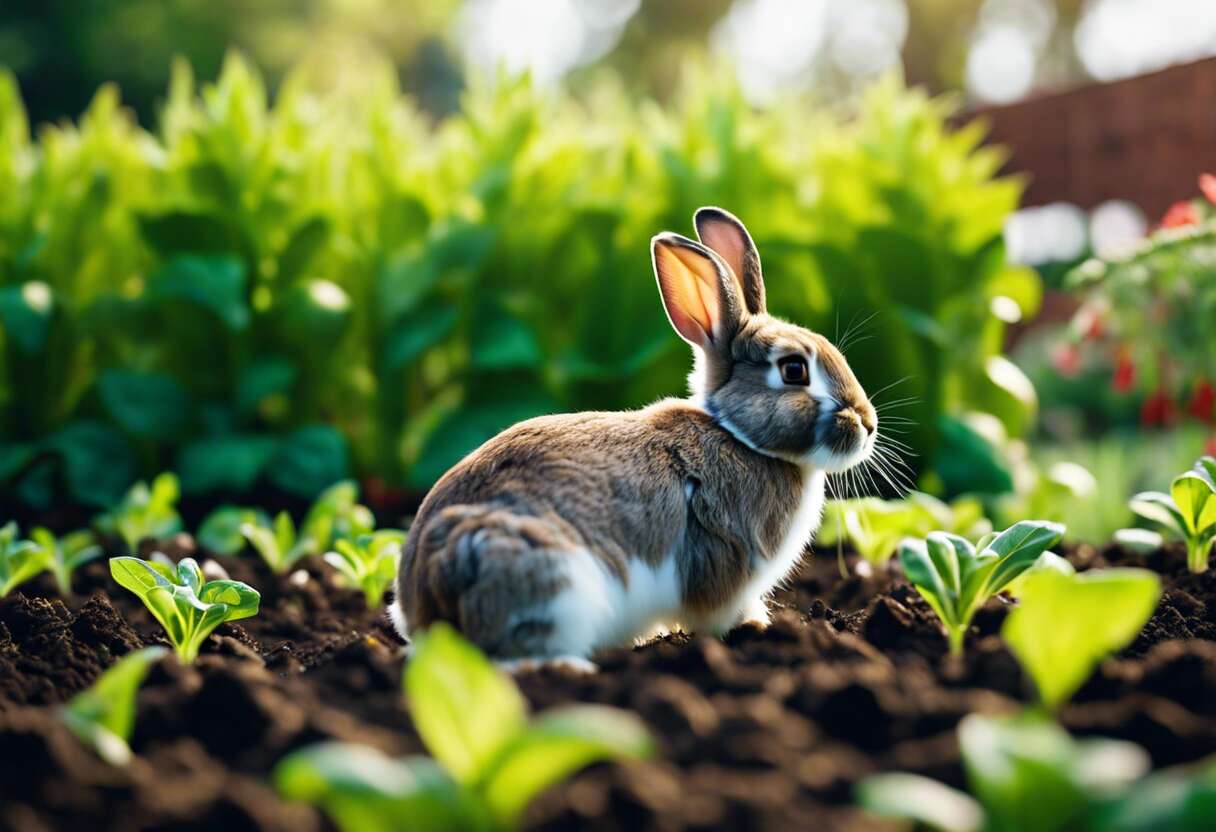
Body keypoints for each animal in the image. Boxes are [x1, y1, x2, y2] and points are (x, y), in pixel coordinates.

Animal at [389, 207, 877, 669]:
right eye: (794, 370)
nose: (868, 425)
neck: (737, 435)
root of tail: (429, 593)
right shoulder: (723, 562)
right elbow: (719, 611)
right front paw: (756, 625)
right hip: (555, 584)